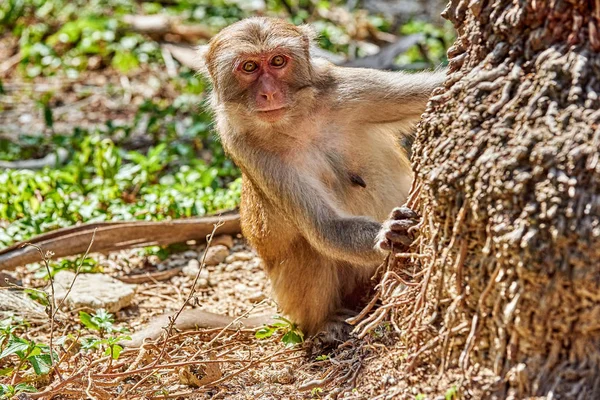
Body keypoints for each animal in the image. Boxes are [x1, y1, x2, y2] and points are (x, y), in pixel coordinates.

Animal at [122, 17, 442, 346]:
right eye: (249, 67)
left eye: (278, 61)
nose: (270, 94)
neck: (295, 120)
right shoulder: (249, 150)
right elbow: (325, 228)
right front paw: (387, 234)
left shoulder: (345, 87)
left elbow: (430, 90)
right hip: (293, 297)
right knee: (308, 250)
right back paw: (324, 322)